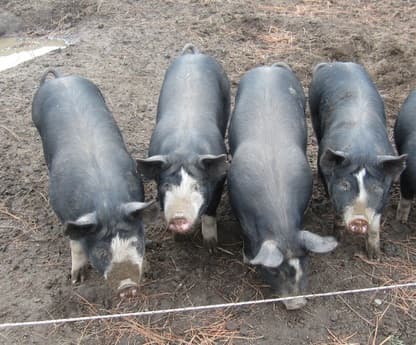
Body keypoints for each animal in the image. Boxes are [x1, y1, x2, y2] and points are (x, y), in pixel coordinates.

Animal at [31, 69, 158, 296]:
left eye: (135, 244)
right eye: (101, 252)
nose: (128, 285)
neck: (106, 204)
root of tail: (60, 78)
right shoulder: (64, 214)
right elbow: (76, 244)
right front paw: (76, 280)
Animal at [139, 45, 231, 250]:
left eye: (196, 186)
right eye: (166, 186)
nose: (179, 217)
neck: (184, 148)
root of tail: (193, 54)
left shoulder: (220, 179)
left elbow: (210, 211)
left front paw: (211, 245)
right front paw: (178, 239)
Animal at [308, 62, 406, 258]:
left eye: (375, 188)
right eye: (344, 185)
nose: (359, 220)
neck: (362, 151)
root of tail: (336, 63)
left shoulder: (385, 193)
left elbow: (375, 223)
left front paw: (375, 256)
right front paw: (337, 239)